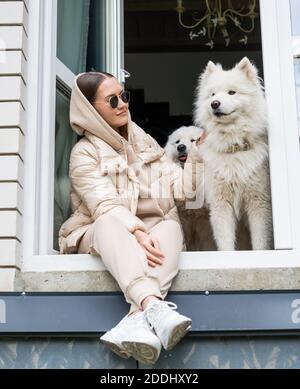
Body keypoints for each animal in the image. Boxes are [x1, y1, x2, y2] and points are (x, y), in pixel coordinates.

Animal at [193, 58, 274, 252]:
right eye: (213, 94)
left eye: (232, 92)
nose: (214, 103)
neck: (233, 148)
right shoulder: (221, 204)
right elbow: (225, 242)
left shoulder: (259, 203)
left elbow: (260, 244)